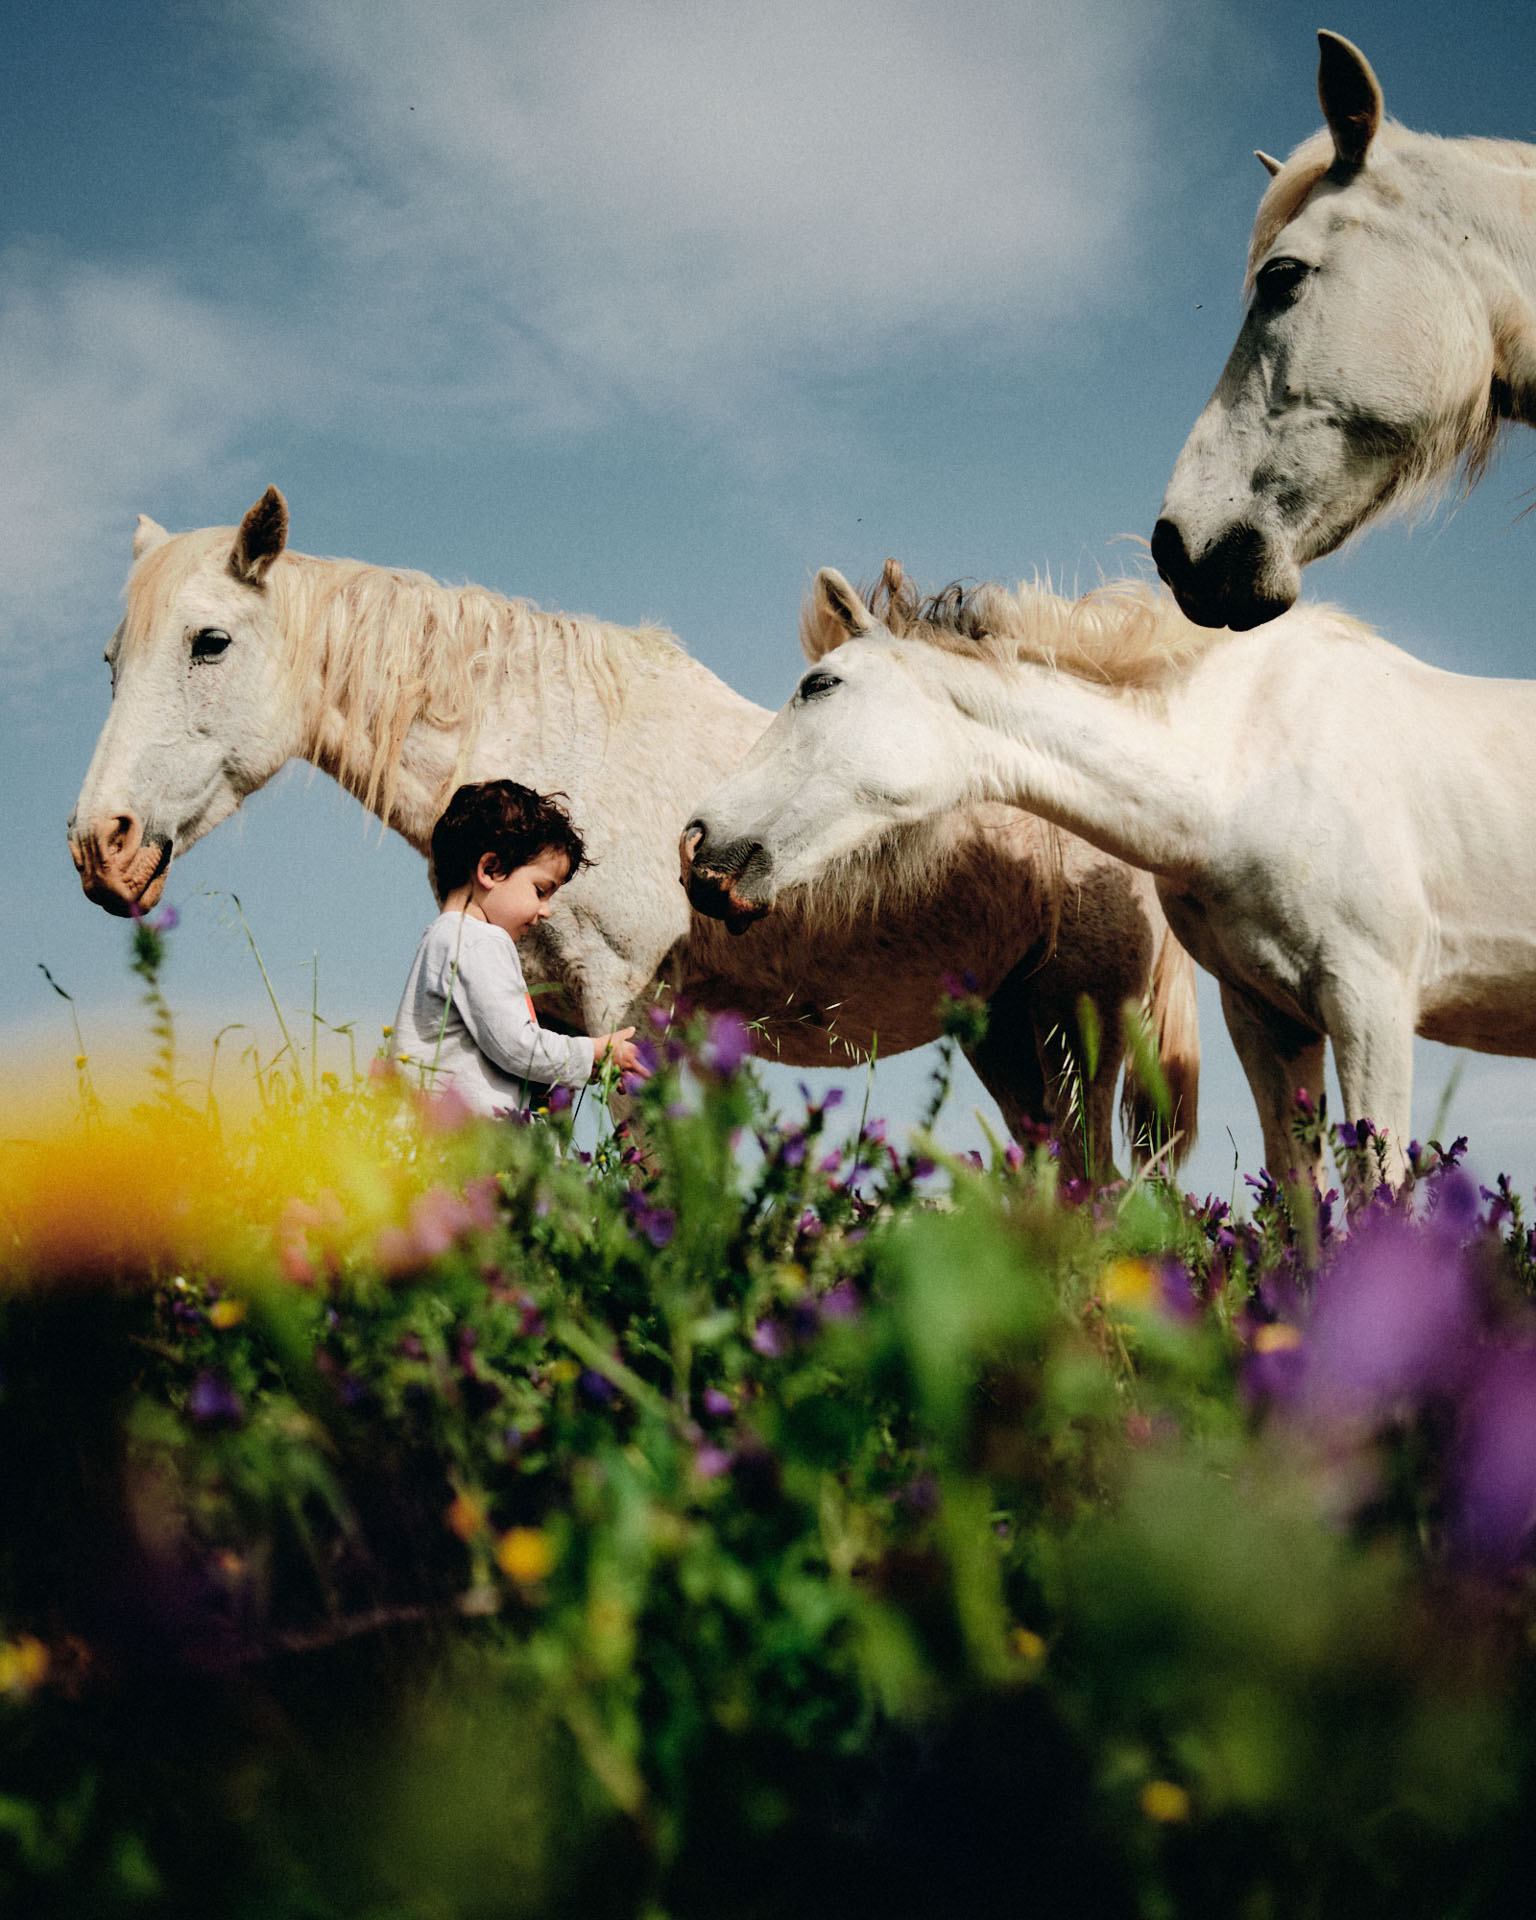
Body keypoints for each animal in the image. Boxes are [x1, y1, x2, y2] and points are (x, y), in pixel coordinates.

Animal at [67, 488, 1199, 1174]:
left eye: (210, 642)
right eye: (112, 660)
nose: (101, 848)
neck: (553, 736)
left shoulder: (625, 1001)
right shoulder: (552, 1010)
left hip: (1082, 1032)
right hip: (1012, 1040)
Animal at [680, 560, 1536, 1185]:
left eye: (818, 685)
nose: (696, 844)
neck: (1245, 768)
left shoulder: (1370, 1005)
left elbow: (1377, 1194)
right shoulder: (1269, 1018)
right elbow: (1304, 1204)